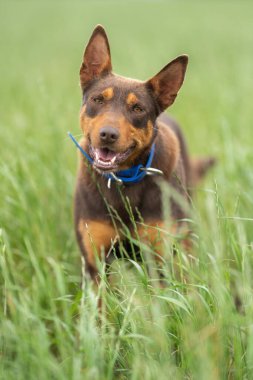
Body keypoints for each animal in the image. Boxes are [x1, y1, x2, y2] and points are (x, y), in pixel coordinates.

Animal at [70, 25, 213, 284]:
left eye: (138, 109)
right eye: (98, 99)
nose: (107, 134)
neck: (122, 180)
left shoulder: (158, 259)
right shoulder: (95, 264)